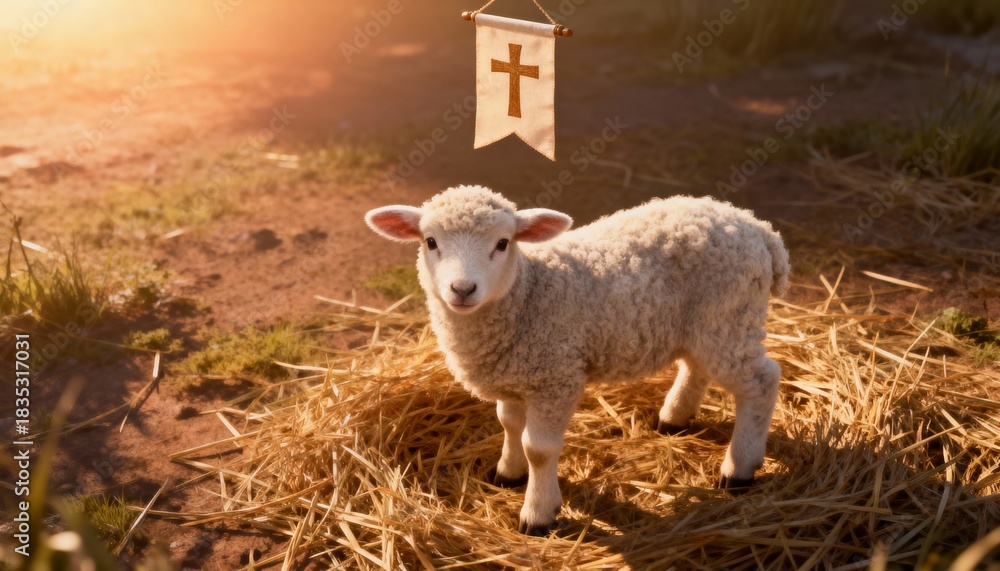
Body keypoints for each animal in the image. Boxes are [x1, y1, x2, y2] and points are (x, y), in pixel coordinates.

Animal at [365, 185, 790, 536]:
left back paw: (739, 469)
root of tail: (760, 231)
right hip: (700, 324)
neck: (528, 291)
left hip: (729, 318)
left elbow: (539, 448)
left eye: (502, 243)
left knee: (762, 381)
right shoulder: (516, 376)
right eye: (430, 241)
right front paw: (508, 473)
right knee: (696, 367)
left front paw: (537, 513)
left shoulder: (556, 377)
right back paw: (674, 419)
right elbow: (509, 425)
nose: (463, 289)